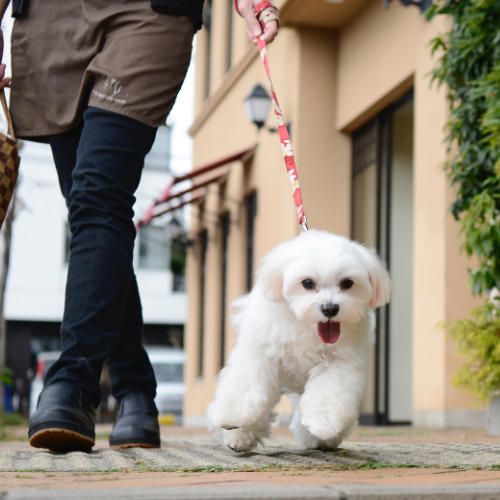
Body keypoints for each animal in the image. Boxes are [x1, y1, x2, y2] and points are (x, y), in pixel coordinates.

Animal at [207, 230, 390, 454]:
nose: (330, 308)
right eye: (307, 283)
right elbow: (246, 386)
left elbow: (328, 393)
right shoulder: (260, 354)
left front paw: (323, 423)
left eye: (347, 283)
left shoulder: (340, 363)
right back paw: (238, 437)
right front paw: (233, 416)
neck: (307, 326)